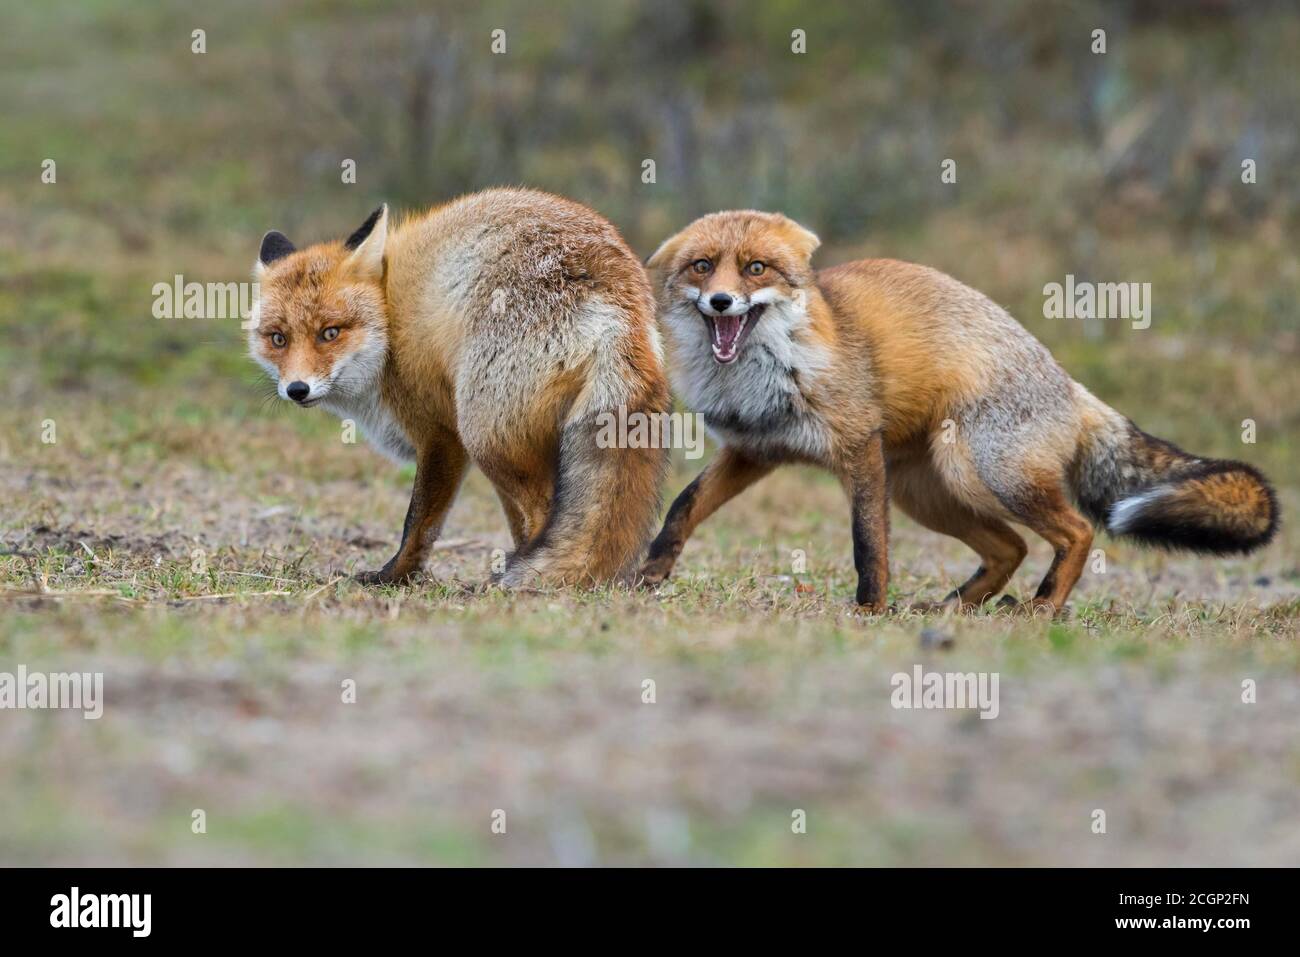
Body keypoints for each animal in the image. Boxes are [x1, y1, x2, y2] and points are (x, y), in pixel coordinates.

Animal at [248, 188, 670, 582]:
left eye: (330, 332)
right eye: (278, 338)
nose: (297, 389)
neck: (389, 322)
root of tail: (617, 295)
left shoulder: (442, 436)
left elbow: (418, 524)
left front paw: (394, 578)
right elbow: (513, 523)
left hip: (485, 435)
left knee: (545, 510)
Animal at [639, 209, 1279, 613]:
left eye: (756, 269)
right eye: (702, 266)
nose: (721, 301)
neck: (765, 373)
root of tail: (1070, 385)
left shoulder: (858, 449)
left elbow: (867, 544)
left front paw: (869, 610)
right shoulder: (754, 451)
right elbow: (683, 507)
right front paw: (649, 575)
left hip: (978, 470)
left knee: (1074, 532)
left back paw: (1043, 607)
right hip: (925, 492)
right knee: (1011, 548)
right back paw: (955, 607)